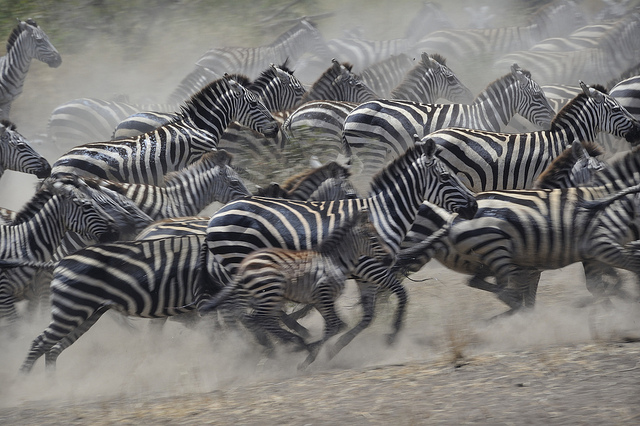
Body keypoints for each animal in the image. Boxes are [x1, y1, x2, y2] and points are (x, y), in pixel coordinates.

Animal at [51, 75, 278, 186]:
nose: (276, 127)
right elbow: (241, 170)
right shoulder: (202, 157)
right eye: (255, 104)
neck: (199, 127)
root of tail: (57, 164)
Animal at [200, 211, 390, 370]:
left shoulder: (320, 299)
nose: (390, 257)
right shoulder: (324, 293)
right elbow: (335, 326)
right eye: (373, 238)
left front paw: (317, 351)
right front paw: (312, 355)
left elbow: (336, 326)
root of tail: (244, 264)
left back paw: (294, 344)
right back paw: (296, 344)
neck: (334, 260)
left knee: (258, 319)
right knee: (259, 318)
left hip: (261, 296)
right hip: (270, 292)